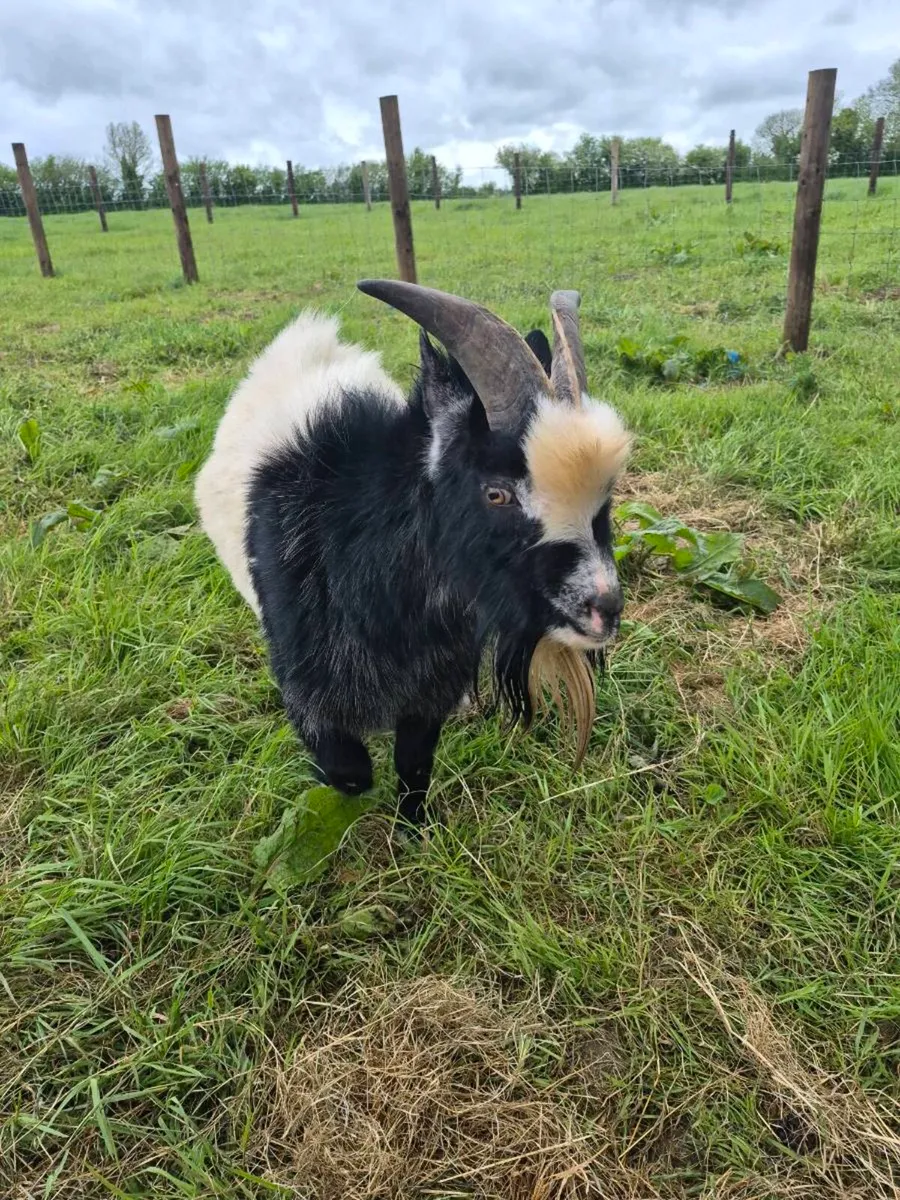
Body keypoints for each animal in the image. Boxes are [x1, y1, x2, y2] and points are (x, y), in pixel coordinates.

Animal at [194, 283, 631, 826]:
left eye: (606, 499)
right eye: (496, 493)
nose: (605, 608)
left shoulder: (432, 687)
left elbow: (414, 762)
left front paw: (413, 831)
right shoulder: (304, 686)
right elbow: (350, 774)